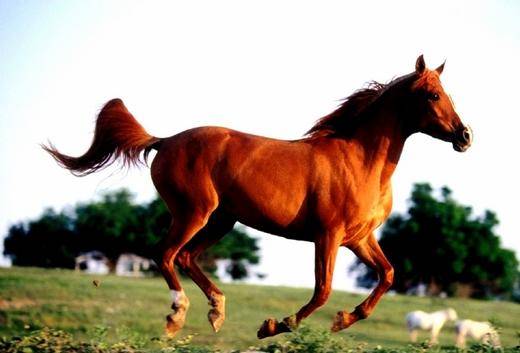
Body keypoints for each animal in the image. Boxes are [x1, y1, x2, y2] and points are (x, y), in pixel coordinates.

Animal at [43, 55, 472, 338]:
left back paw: (216, 312)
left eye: (448, 93)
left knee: (185, 256)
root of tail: (164, 141)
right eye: (433, 95)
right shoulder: (328, 236)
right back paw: (177, 316)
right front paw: (275, 325)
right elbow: (322, 290)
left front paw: (344, 319)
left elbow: (387, 275)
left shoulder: (360, 239)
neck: (360, 160)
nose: (465, 136)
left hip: (222, 219)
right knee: (165, 254)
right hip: (194, 212)